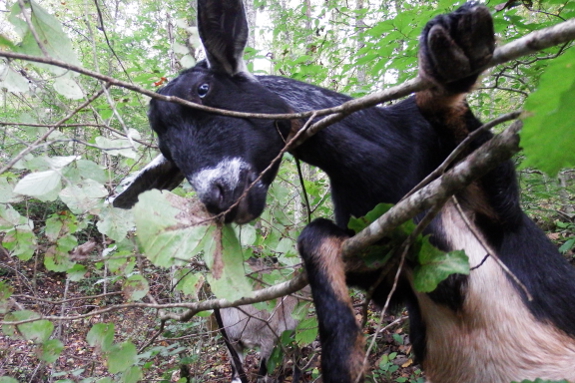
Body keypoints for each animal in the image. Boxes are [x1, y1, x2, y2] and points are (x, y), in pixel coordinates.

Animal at [115, 0, 575, 383]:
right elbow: (314, 237)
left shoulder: (497, 213)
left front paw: (452, 56)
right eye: (167, 152)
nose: (218, 197)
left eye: (203, 91)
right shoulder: (388, 273)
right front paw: (344, 358)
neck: (386, 170)